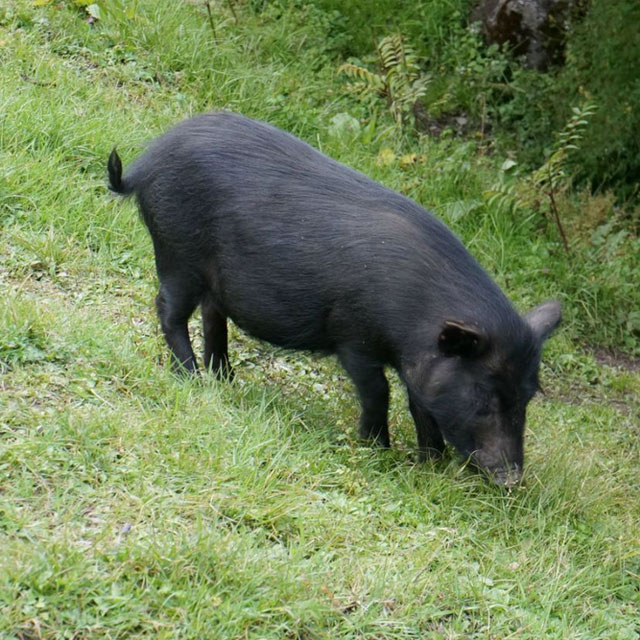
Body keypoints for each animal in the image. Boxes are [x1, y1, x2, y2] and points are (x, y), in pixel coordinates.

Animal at [109, 114, 560, 484]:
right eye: (483, 397)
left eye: (527, 397)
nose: (511, 480)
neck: (413, 321)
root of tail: (144, 165)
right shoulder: (354, 336)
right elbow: (378, 391)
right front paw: (378, 450)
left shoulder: (419, 363)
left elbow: (421, 405)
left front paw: (429, 465)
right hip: (177, 253)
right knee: (168, 310)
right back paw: (190, 378)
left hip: (209, 277)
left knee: (211, 315)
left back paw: (225, 380)